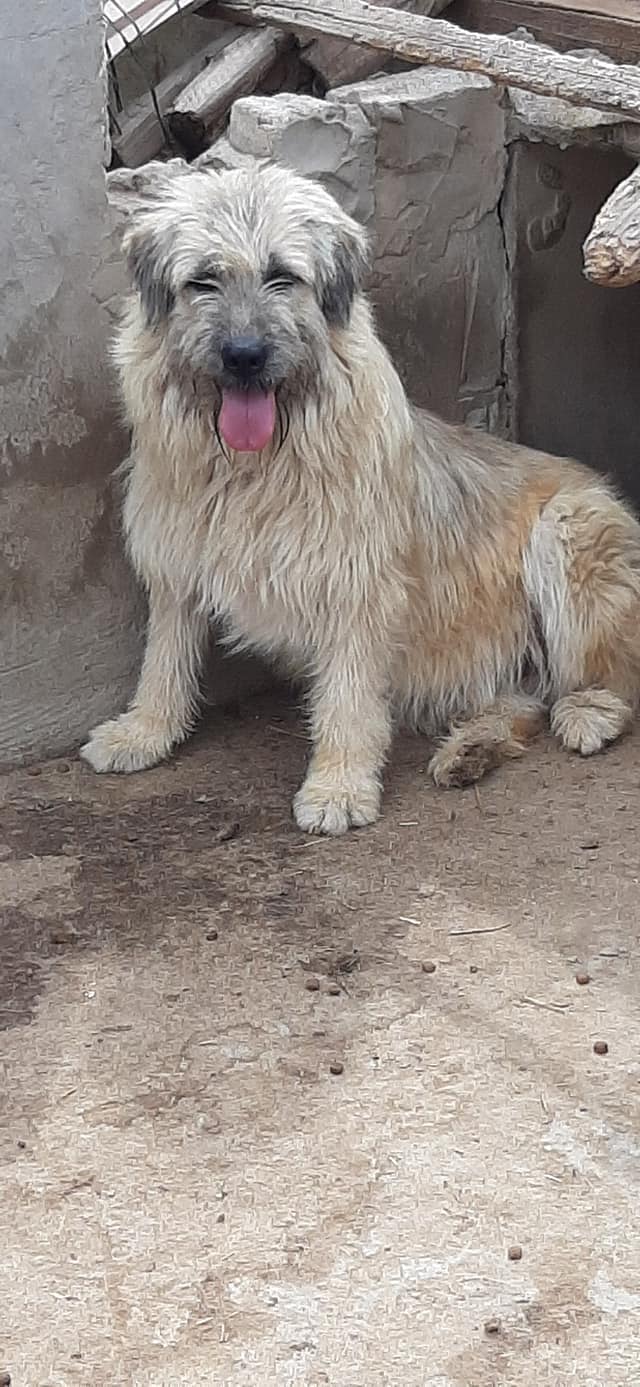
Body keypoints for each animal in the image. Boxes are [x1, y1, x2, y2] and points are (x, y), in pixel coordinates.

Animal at [81, 160, 640, 834]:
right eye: (203, 281)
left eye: (282, 276)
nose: (244, 357)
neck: (255, 468)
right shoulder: (176, 564)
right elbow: (164, 660)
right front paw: (144, 732)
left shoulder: (356, 588)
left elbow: (347, 698)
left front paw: (339, 786)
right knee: (524, 700)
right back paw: (470, 750)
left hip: (571, 531)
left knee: (609, 681)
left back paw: (585, 713)